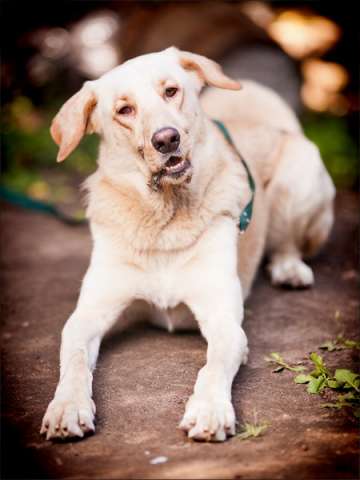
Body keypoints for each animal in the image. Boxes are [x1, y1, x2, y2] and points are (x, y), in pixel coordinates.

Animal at [40, 47, 334, 440]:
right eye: (124, 110)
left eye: (171, 91)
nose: (167, 139)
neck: (164, 218)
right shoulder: (88, 313)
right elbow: (73, 360)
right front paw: (67, 406)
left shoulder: (224, 317)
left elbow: (212, 365)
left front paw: (209, 408)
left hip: (303, 175)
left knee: (288, 243)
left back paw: (289, 269)